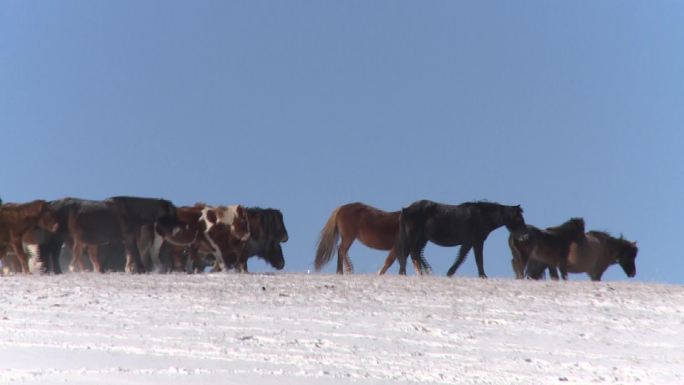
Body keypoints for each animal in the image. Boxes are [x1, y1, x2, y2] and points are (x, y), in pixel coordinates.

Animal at [392, 200, 528, 278]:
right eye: (519, 218)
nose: (524, 236)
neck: (482, 216)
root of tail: (406, 209)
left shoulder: (469, 243)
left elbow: (461, 258)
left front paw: (450, 273)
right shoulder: (477, 242)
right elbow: (478, 259)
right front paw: (483, 276)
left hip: (421, 239)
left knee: (414, 254)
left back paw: (419, 272)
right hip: (414, 237)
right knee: (410, 253)